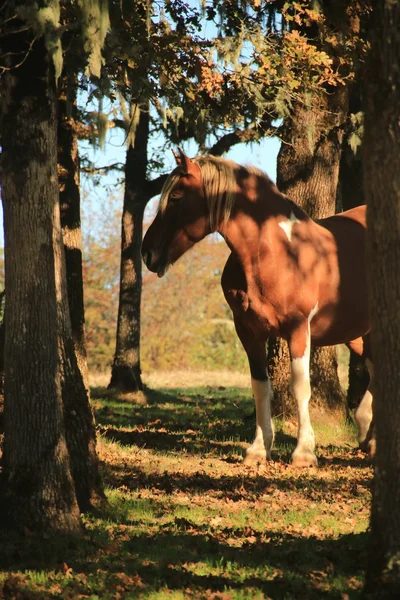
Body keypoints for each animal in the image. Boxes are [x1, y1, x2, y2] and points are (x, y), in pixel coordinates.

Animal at [142, 148, 374, 466]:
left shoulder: (298, 329)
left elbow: (300, 386)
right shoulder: (248, 331)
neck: (278, 253)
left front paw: (304, 452)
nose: (147, 253)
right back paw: (368, 436)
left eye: (176, 196)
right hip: (359, 334)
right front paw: (258, 449)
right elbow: (260, 387)